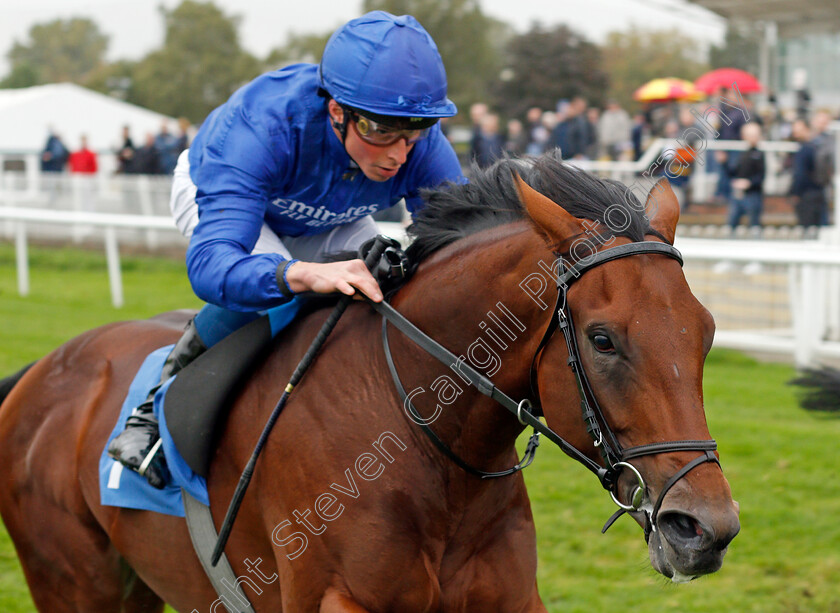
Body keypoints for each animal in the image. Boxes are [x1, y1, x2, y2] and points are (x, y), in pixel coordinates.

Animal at [0, 157, 736, 612]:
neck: (426, 446)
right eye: (603, 339)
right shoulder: (332, 595)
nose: (706, 528)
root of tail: (37, 372)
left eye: (705, 332)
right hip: (72, 580)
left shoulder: (510, 596)